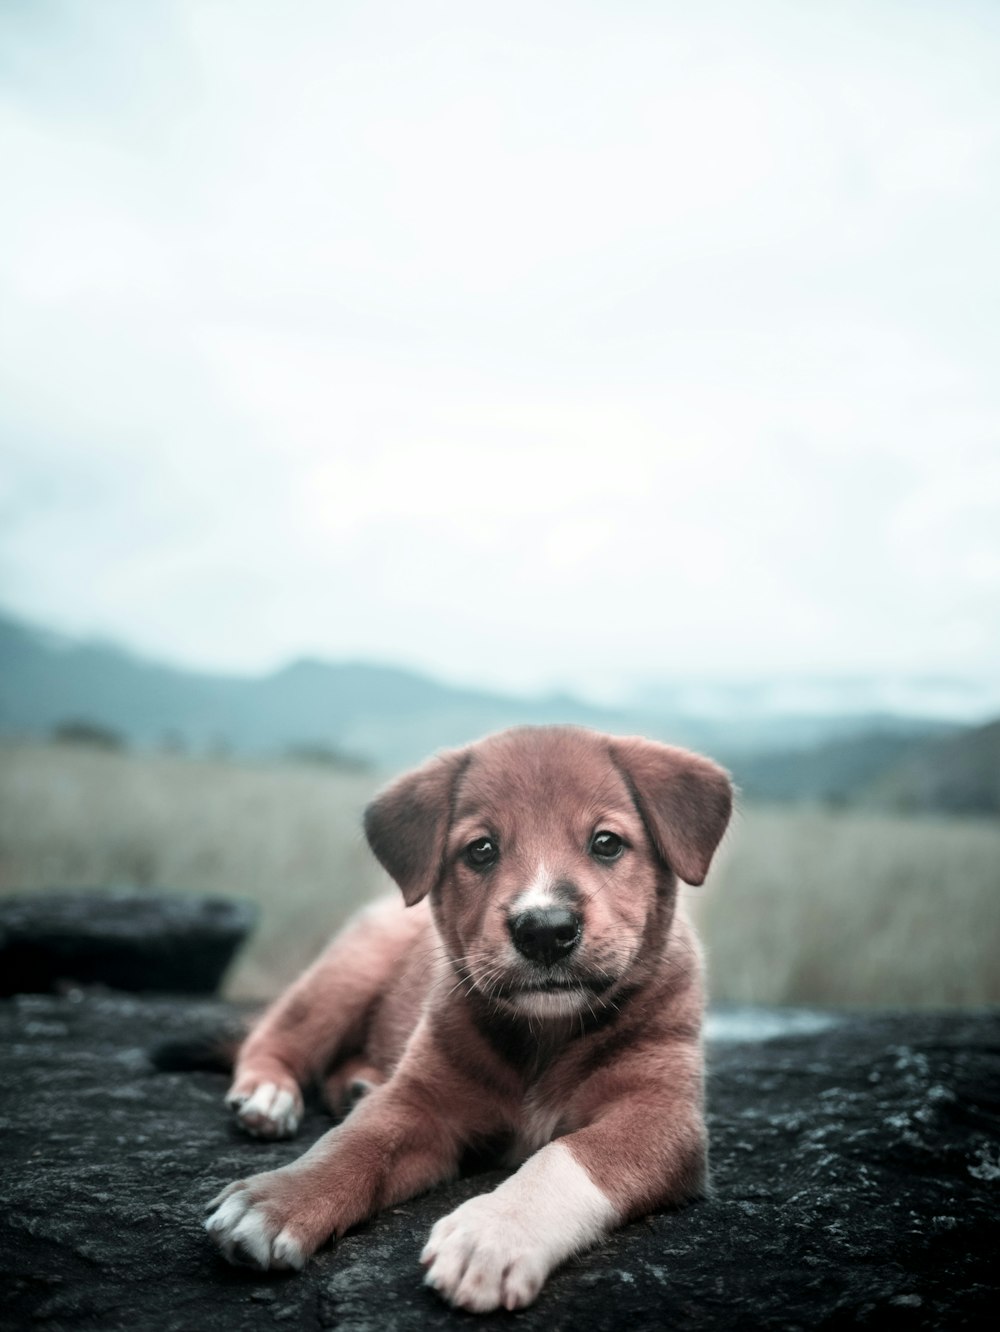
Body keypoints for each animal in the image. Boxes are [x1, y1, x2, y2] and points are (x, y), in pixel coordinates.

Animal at [205, 729, 735, 1310]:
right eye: (481, 849)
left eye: (607, 843)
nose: (544, 930)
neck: (546, 1034)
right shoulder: (420, 1101)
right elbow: (351, 1144)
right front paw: (276, 1200)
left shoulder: (660, 1115)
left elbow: (568, 1154)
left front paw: (494, 1234)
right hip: (344, 974)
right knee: (275, 1037)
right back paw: (268, 1095)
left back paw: (357, 1085)